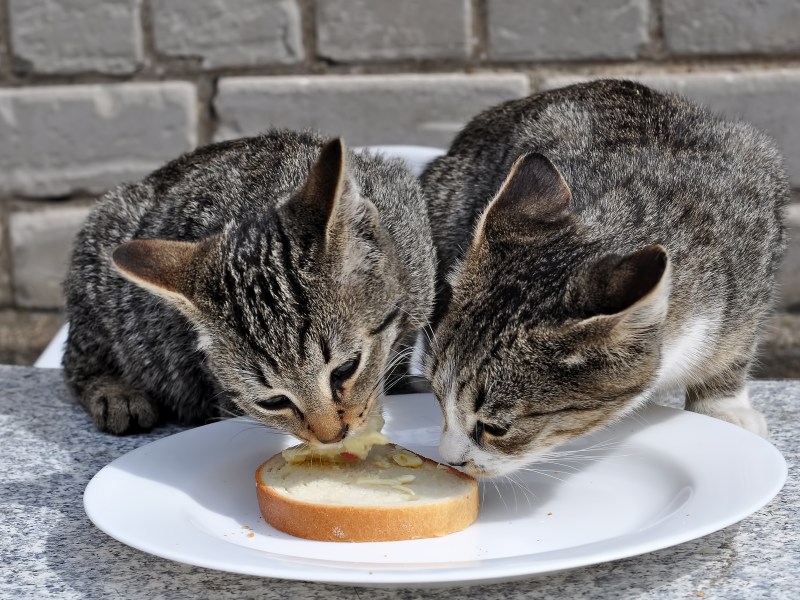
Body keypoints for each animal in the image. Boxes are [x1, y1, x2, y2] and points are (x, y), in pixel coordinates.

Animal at [422, 79, 792, 476]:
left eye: (495, 428)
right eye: (437, 396)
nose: (450, 459)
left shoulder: (756, 256)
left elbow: (737, 348)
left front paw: (723, 406)